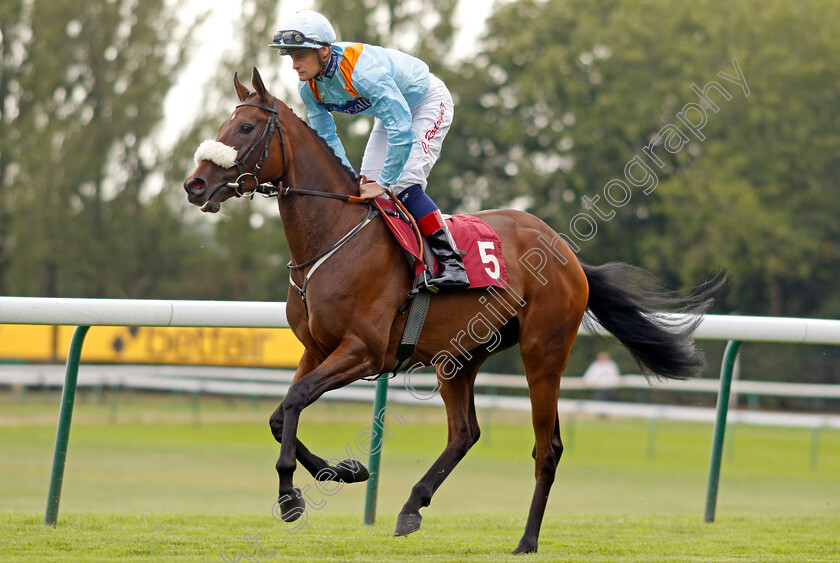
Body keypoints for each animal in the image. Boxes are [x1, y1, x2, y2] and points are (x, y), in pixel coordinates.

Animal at [182, 67, 716, 556]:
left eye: (245, 128)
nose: (195, 184)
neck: (333, 236)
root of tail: (566, 252)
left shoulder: (364, 351)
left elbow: (293, 403)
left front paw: (291, 496)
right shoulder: (317, 349)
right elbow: (280, 415)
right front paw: (347, 470)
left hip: (543, 354)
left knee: (547, 448)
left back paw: (526, 541)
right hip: (459, 357)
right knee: (465, 432)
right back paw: (411, 506)